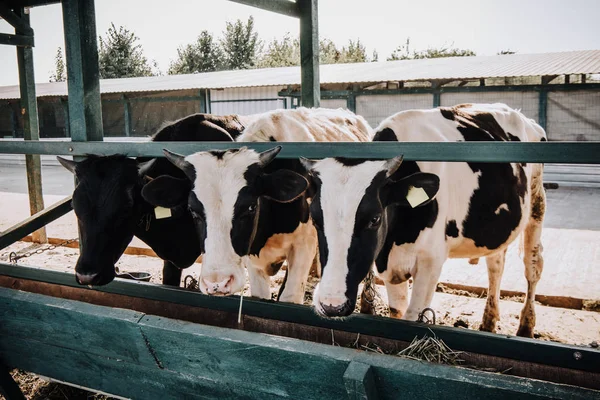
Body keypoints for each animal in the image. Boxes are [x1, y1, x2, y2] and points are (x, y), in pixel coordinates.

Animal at [142, 107, 372, 304]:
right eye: (192, 210)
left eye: (251, 207)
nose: (217, 283)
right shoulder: (251, 256)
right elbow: (261, 296)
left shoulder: (303, 245)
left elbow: (289, 296)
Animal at [302, 104, 548, 338]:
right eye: (316, 219)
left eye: (374, 219)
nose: (331, 305)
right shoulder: (390, 265)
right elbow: (397, 311)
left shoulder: (431, 261)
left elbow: (413, 316)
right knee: (496, 265)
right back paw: (488, 321)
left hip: (537, 203)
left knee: (532, 266)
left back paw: (526, 327)